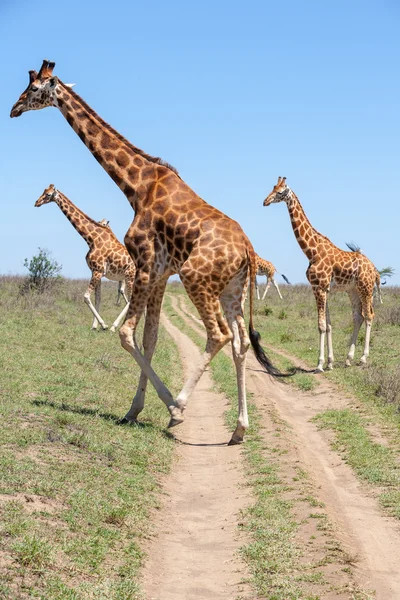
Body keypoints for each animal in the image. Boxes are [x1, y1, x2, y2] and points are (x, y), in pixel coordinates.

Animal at [34, 183, 134, 332]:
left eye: (48, 194)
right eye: (43, 191)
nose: (36, 202)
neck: (91, 239)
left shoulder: (98, 271)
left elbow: (86, 296)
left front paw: (104, 324)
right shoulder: (97, 271)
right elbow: (98, 298)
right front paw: (95, 325)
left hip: (129, 275)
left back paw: (114, 326)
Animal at [262, 176, 382, 370]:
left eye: (280, 192)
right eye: (272, 187)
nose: (265, 201)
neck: (311, 251)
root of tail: (375, 269)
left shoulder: (319, 288)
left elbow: (321, 325)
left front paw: (319, 364)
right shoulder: (323, 288)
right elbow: (329, 325)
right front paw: (330, 362)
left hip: (366, 288)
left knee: (370, 315)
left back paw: (363, 358)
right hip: (353, 290)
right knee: (358, 316)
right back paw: (348, 359)